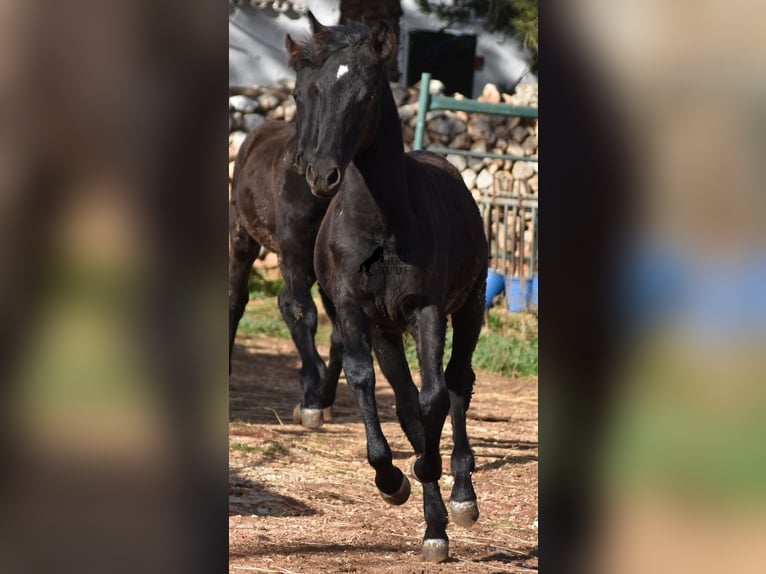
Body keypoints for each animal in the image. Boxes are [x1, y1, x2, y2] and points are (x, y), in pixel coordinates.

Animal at [230, 13, 344, 430]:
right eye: (297, 93)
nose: (310, 166)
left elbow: (338, 328)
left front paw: (322, 399)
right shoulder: (293, 250)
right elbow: (302, 313)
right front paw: (311, 401)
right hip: (243, 235)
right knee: (238, 297)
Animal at [290, 22, 492, 564]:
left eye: (365, 95)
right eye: (310, 92)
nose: (320, 174)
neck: (379, 224)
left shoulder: (427, 311)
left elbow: (435, 397)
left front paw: (430, 473)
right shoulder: (355, 313)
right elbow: (367, 384)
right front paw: (393, 480)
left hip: (469, 308)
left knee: (457, 383)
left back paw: (460, 496)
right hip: (387, 331)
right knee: (404, 402)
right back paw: (433, 523)